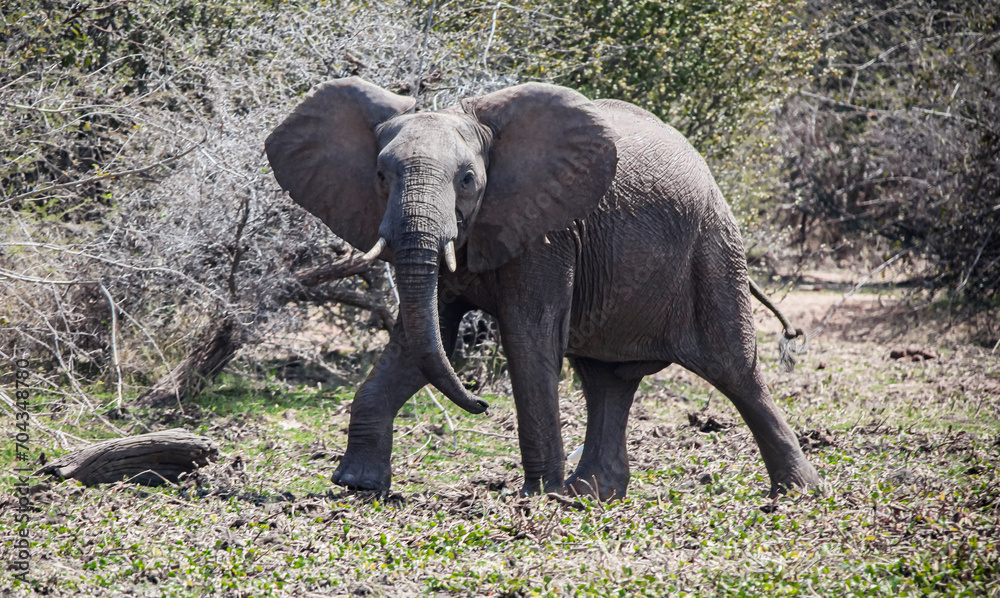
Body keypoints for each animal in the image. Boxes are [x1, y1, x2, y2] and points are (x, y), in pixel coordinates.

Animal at [265, 77, 821, 500]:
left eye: (467, 180)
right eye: (381, 175)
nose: (479, 404)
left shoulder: (547, 234)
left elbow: (527, 339)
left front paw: (538, 497)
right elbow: (421, 338)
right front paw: (356, 485)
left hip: (713, 248)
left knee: (735, 370)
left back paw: (798, 494)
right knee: (608, 379)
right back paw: (591, 494)